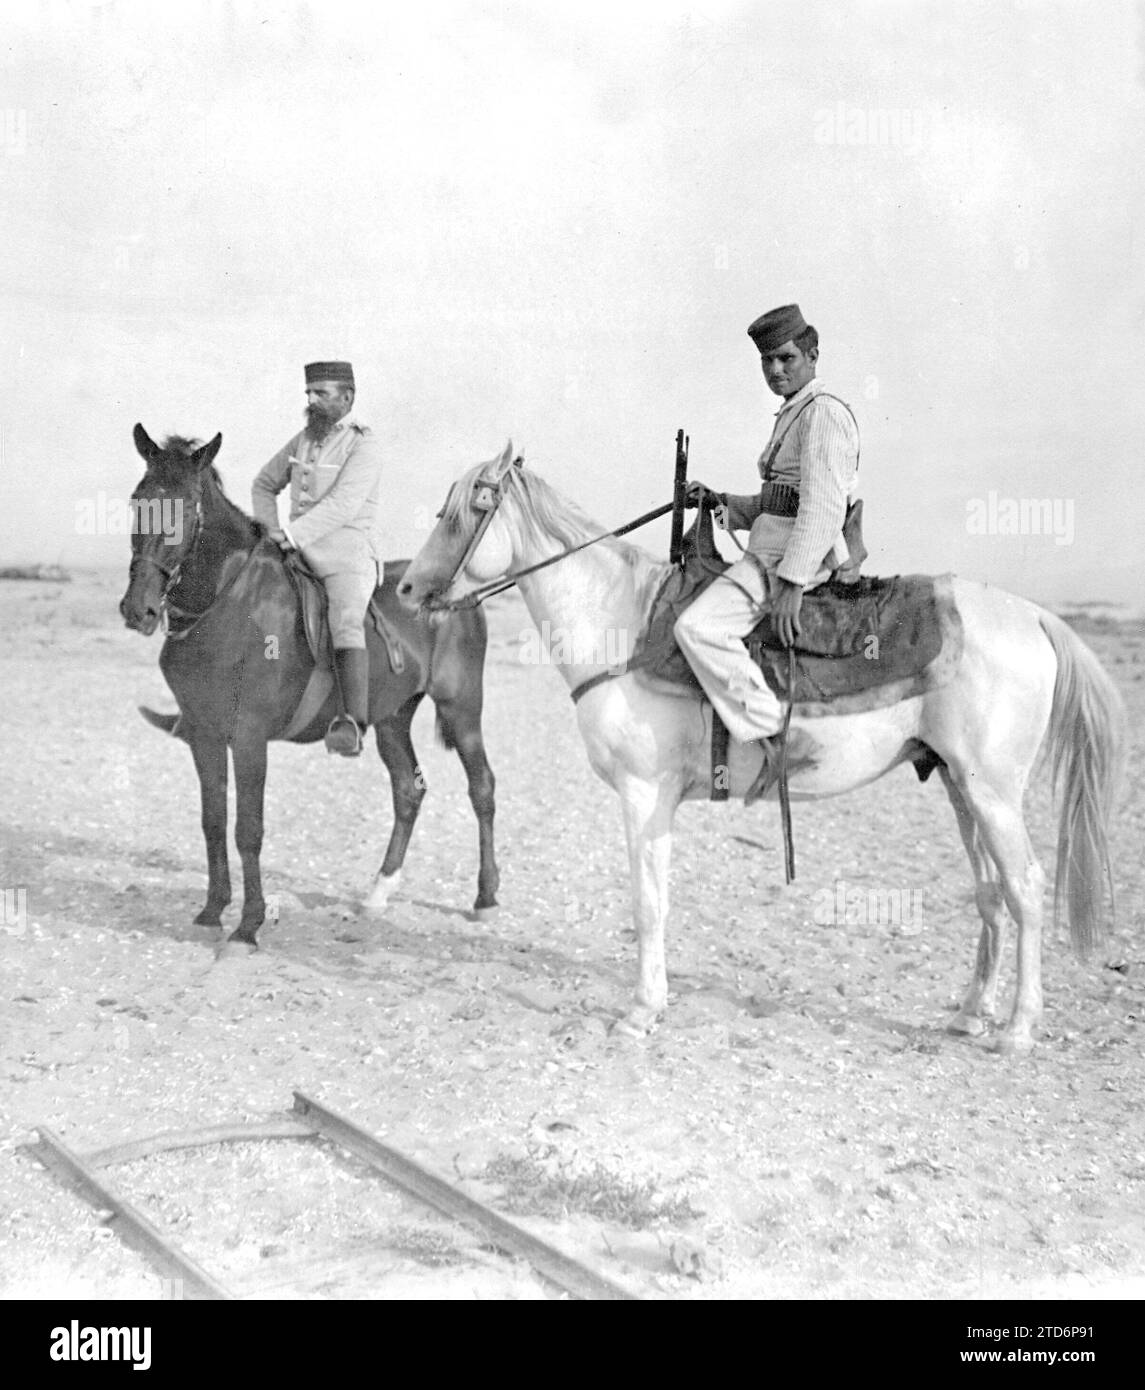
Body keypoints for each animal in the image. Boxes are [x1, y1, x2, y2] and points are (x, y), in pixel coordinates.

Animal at [119, 425, 500, 946]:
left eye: (188, 507)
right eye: (138, 500)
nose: (138, 610)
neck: (228, 601)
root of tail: (458, 595)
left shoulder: (249, 737)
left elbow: (248, 829)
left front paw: (248, 925)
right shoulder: (204, 735)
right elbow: (213, 821)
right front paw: (213, 909)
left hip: (462, 710)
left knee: (481, 788)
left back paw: (486, 898)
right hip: (392, 720)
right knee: (408, 790)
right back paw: (379, 892)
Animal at [397, 441, 1125, 1054]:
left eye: (463, 511)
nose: (404, 589)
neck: (621, 623)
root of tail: (1033, 615)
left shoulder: (643, 794)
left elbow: (647, 903)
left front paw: (640, 1011)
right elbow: (656, 899)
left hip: (991, 791)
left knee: (1025, 888)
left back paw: (1018, 1029)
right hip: (957, 785)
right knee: (990, 892)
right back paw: (972, 1012)